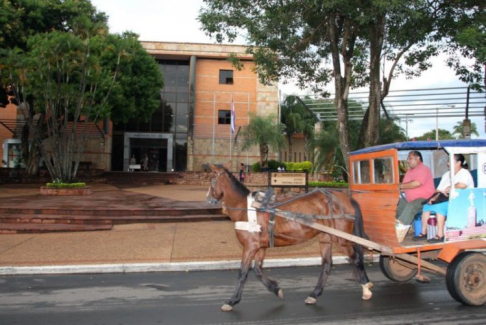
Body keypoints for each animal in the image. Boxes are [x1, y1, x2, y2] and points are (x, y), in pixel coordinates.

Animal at [208, 163, 372, 310]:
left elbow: (243, 271)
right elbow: (257, 270)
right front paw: (276, 289)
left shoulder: (250, 246)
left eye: (211, 179)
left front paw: (232, 300)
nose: (208, 198)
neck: (249, 209)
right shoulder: (260, 246)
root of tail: (345, 197)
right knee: (327, 263)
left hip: (342, 239)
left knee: (356, 258)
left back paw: (366, 287)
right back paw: (314, 294)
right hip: (326, 237)